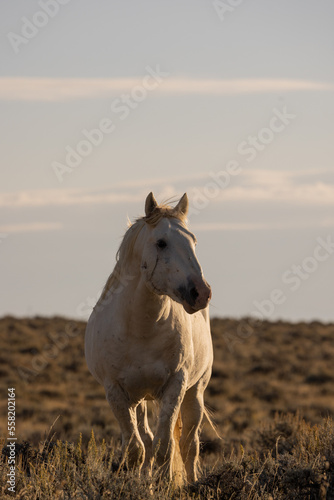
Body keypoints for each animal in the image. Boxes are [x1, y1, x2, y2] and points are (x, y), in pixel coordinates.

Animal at [85, 193, 213, 482]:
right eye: (161, 242)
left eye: (194, 241)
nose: (201, 292)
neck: (141, 328)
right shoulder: (116, 392)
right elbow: (136, 450)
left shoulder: (176, 385)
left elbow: (165, 447)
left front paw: (166, 485)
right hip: (140, 399)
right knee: (146, 441)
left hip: (195, 392)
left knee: (189, 445)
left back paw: (192, 483)